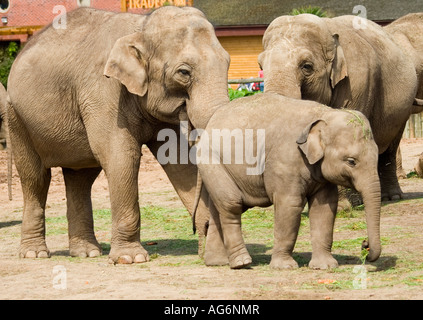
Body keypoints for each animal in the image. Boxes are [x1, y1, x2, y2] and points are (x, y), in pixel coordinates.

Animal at [4, 6, 230, 264]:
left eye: (228, 63)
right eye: (184, 72)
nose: (200, 228)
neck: (141, 27)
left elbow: (179, 161)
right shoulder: (103, 92)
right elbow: (122, 157)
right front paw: (131, 259)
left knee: (80, 180)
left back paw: (87, 253)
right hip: (17, 119)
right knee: (35, 178)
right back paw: (35, 253)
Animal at [197, 93, 382, 270]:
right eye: (351, 161)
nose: (364, 245)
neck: (323, 113)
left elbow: (324, 207)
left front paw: (325, 266)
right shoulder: (284, 161)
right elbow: (289, 206)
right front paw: (284, 267)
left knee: (218, 209)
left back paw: (218, 262)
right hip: (212, 162)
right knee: (231, 205)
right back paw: (242, 263)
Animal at [260, 15, 420, 201]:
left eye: (306, 66)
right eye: (261, 66)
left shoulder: (357, 84)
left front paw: (344, 204)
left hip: (403, 107)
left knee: (390, 148)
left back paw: (391, 197)